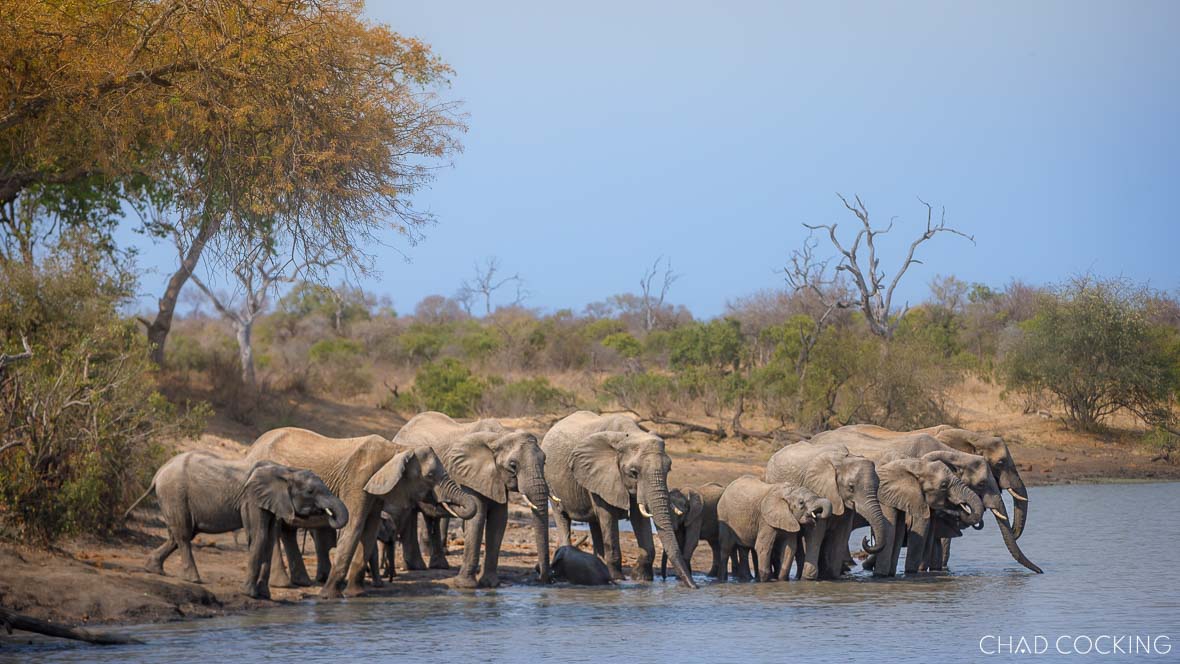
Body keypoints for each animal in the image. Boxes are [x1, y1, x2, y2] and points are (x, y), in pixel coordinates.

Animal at [123, 451, 348, 599]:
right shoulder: (251, 499)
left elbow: (268, 538)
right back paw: (193, 579)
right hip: (174, 494)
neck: (286, 471)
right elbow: (259, 537)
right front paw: (249, 593)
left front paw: (264, 595)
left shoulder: (270, 502)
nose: (327, 514)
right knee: (184, 535)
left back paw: (154, 569)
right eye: (310, 492)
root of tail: (159, 472)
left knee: (177, 535)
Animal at [246, 428, 480, 598]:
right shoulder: (358, 480)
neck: (397, 449)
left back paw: (299, 582)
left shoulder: (374, 488)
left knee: (284, 530)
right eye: (430, 476)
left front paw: (355, 594)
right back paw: (284, 585)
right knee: (273, 529)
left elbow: (369, 530)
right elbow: (354, 526)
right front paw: (328, 596)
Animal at [391, 412, 551, 588]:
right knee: (410, 514)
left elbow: (499, 520)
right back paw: (415, 567)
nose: (541, 576)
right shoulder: (469, 475)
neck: (500, 437)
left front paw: (490, 584)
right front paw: (466, 585)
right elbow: (478, 516)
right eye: (513, 465)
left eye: (544, 461)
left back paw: (437, 566)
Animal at [542, 411, 698, 588]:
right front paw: (619, 579)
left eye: (669, 469)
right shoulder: (601, 475)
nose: (695, 587)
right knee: (562, 517)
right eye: (634, 472)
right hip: (551, 482)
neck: (628, 435)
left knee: (595, 524)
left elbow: (640, 519)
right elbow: (608, 517)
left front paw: (642, 579)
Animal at [764, 442, 889, 579]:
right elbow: (815, 532)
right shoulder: (818, 488)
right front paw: (809, 578)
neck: (842, 460)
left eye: (878, 486)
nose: (867, 539)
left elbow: (842, 534)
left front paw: (831, 576)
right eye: (851, 487)